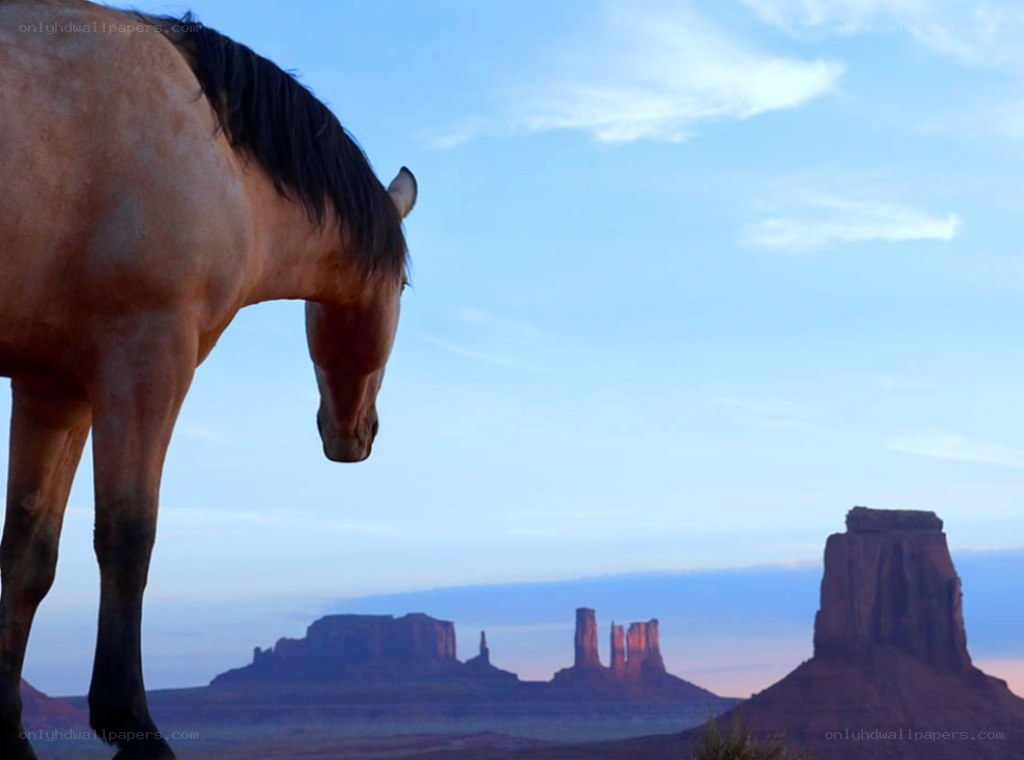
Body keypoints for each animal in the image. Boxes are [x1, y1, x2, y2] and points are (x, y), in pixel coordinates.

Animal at [0, 2, 416, 757]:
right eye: (401, 285)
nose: (357, 434)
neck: (223, 162)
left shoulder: (54, 389)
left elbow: (27, 556)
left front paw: (8, 730)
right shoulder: (147, 359)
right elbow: (127, 536)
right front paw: (130, 721)